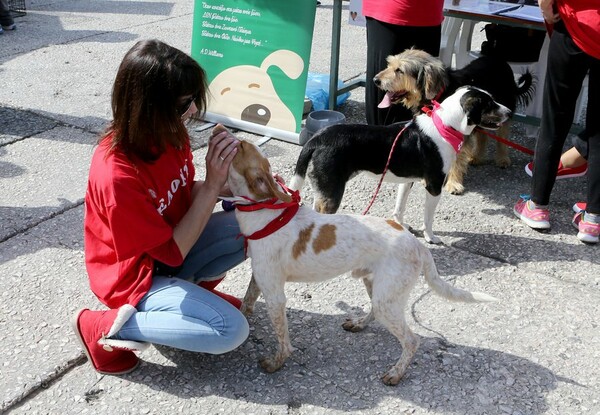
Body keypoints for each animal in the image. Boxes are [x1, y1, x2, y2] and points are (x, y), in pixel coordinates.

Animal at [219, 124, 496, 386]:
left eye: (239, 146)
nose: (219, 129)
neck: (265, 213)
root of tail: (418, 245)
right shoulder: (258, 279)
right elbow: (246, 303)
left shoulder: (275, 295)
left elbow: (283, 340)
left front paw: (275, 363)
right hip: (377, 287)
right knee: (374, 310)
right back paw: (360, 323)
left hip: (388, 300)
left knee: (411, 340)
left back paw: (395, 373)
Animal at [290, 86, 510, 245]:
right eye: (489, 104)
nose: (509, 111)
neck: (445, 126)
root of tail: (317, 139)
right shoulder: (434, 186)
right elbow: (428, 219)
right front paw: (431, 238)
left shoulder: (407, 181)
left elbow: (400, 207)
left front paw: (401, 226)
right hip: (332, 192)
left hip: (324, 188)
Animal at [376, 48, 536, 195]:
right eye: (389, 65)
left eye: (399, 70)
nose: (375, 80)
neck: (440, 93)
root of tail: (501, 61)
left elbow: (457, 160)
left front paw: (453, 184)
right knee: (482, 135)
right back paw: (477, 157)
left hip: (502, 109)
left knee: (503, 135)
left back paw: (503, 159)